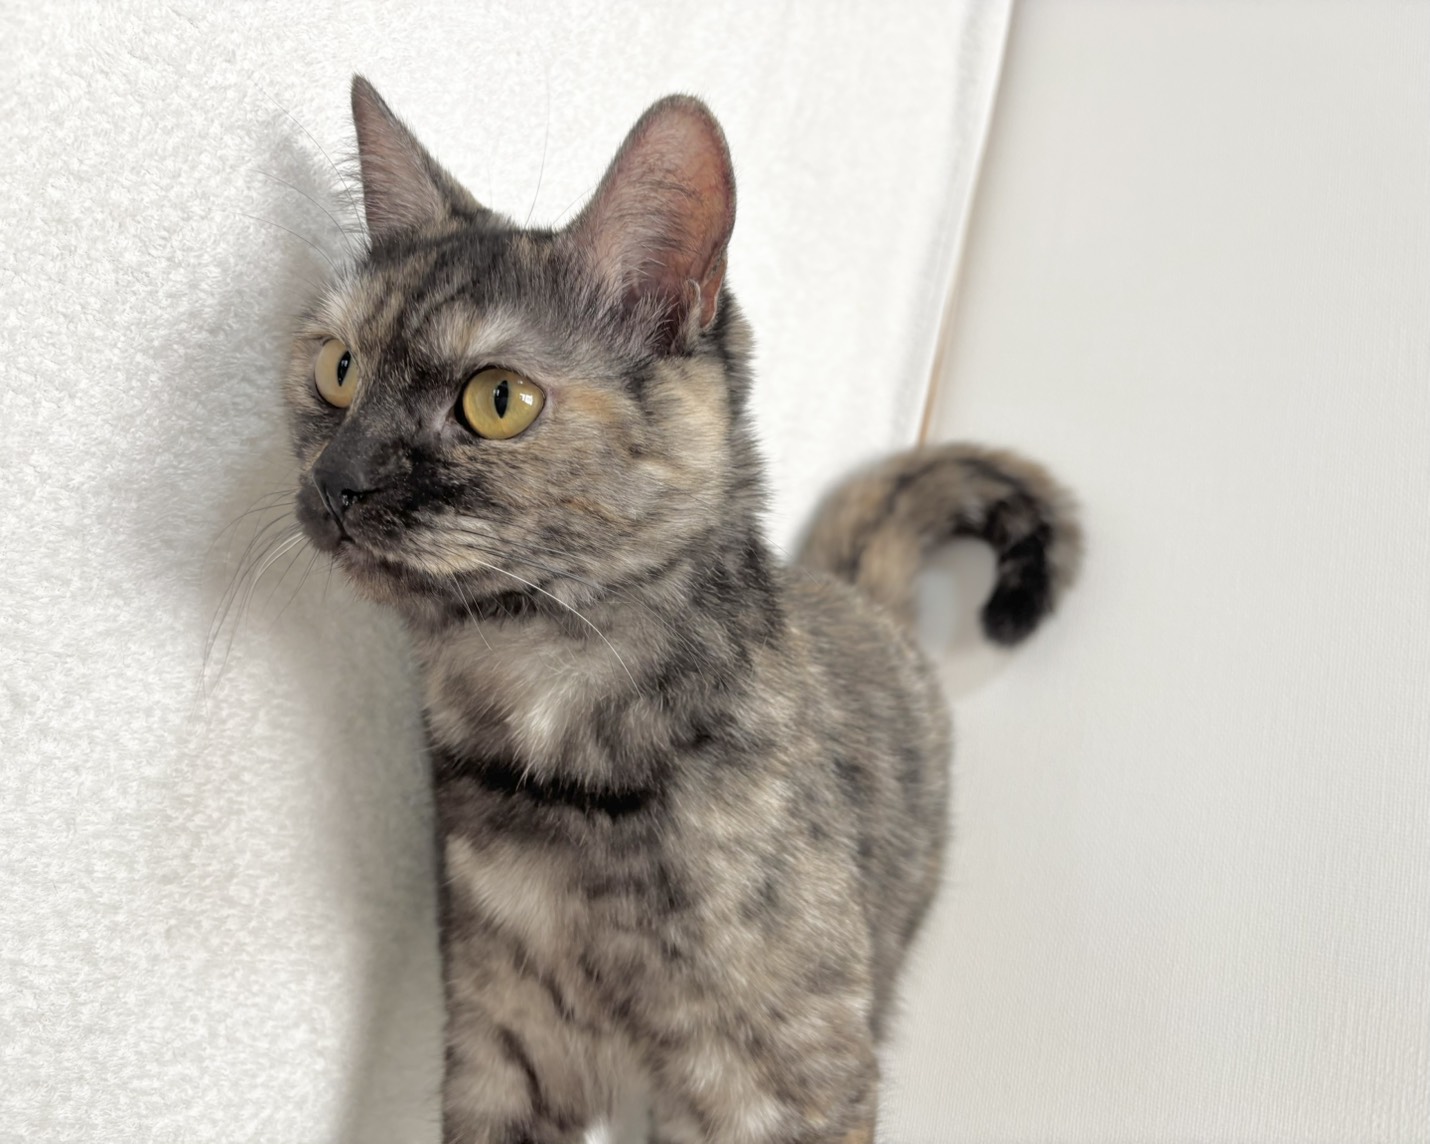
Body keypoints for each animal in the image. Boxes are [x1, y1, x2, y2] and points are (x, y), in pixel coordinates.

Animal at [285, 76, 1081, 1144]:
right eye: (337, 371)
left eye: (498, 400)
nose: (338, 481)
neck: (554, 750)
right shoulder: (501, 1044)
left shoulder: (791, 1080)